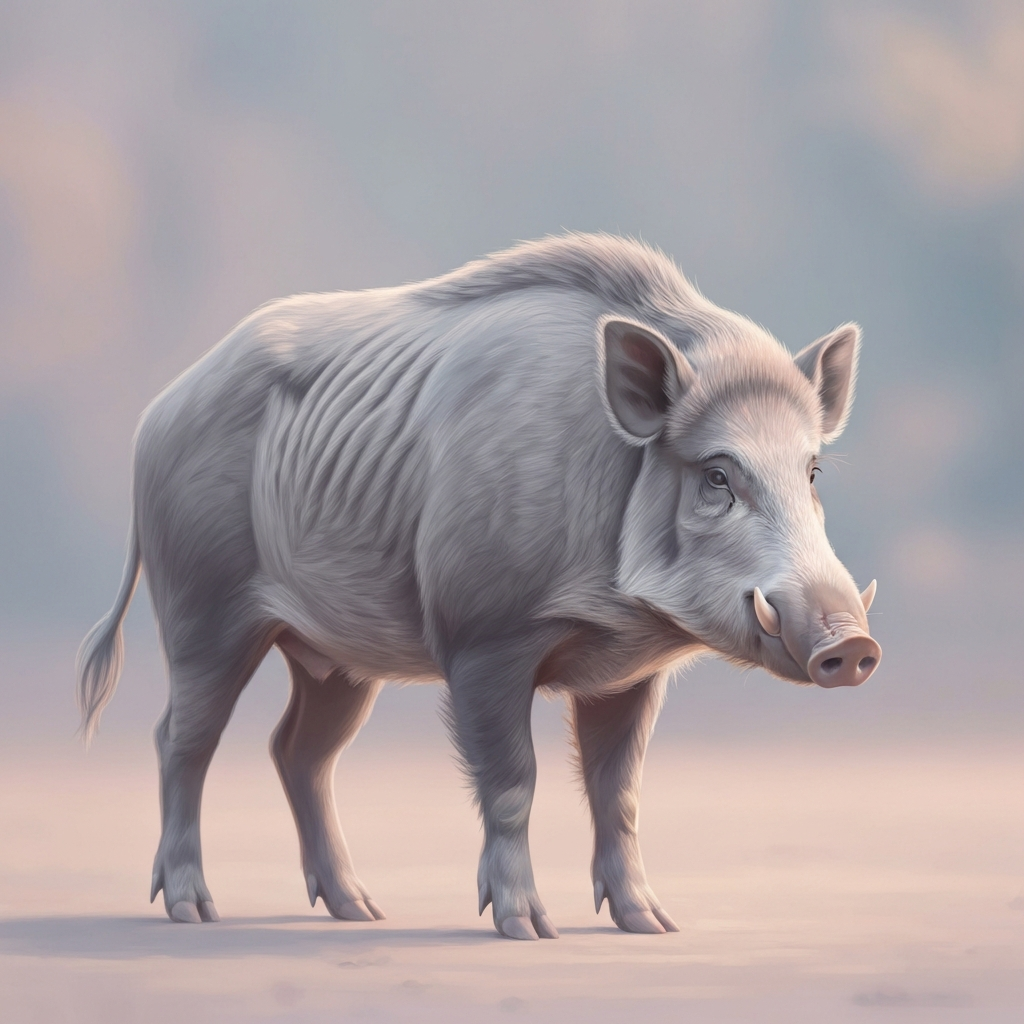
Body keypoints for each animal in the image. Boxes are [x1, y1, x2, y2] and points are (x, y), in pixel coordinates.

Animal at [77, 233, 880, 940]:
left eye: (811, 471)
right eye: (717, 475)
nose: (851, 644)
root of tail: (157, 412)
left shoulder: (629, 672)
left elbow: (619, 791)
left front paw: (652, 926)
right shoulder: (484, 637)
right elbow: (513, 782)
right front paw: (528, 931)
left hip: (333, 656)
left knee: (298, 749)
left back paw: (360, 911)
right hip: (200, 605)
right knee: (183, 738)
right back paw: (194, 911)